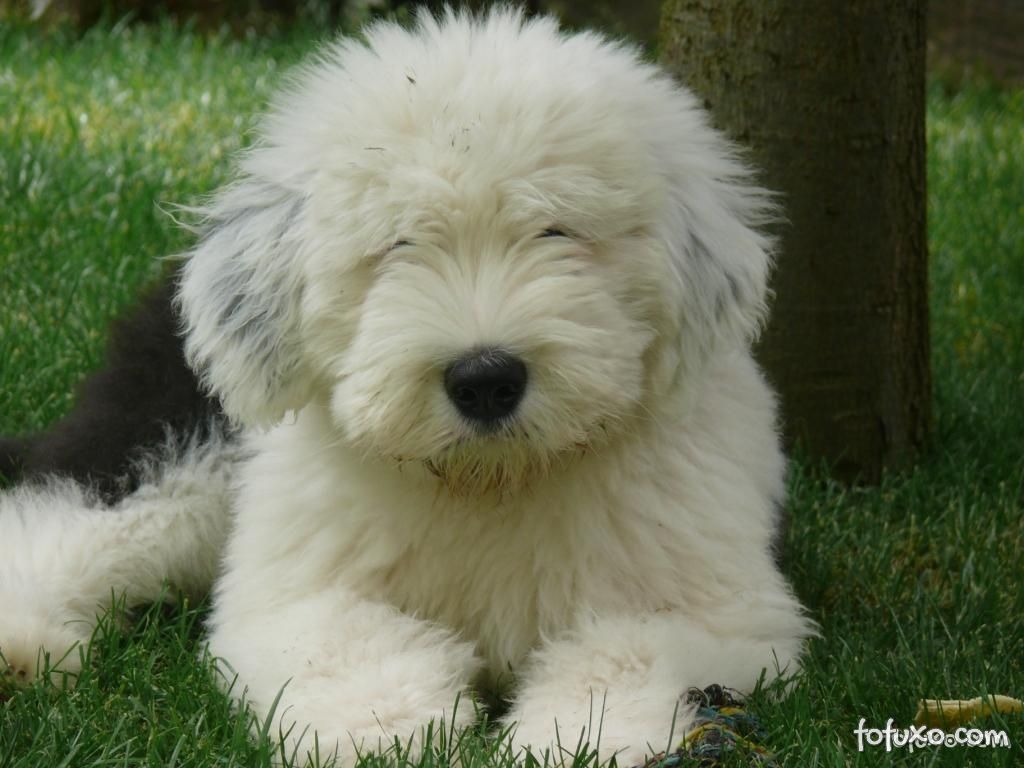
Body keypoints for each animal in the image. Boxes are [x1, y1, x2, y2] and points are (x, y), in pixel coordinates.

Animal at [0, 7, 815, 768]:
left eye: (555, 230)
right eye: (400, 243)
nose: (485, 380)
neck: (489, 484)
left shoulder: (713, 604)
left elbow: (621, 653)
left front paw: (576, 741)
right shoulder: (300, 591)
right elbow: (355, 647)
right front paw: (389, 738)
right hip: (179, 427)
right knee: (68, 514)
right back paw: (23, 647)